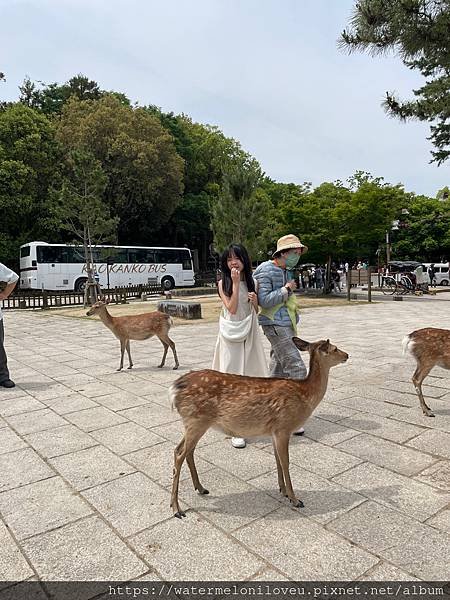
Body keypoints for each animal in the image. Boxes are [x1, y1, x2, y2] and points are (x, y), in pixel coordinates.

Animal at [169, 336, 348, 516]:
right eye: (335, 349)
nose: (347, 355)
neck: (305, 395)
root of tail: (174, 389)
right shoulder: (284, 427)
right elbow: (285, 462)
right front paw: (295, 499)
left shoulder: (275, 431)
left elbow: (277, 460)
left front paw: (283, 491)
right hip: (196, 420)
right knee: (180, 453)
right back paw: (176, 508)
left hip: (194, 423)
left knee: (185, 450)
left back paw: (200, 488)